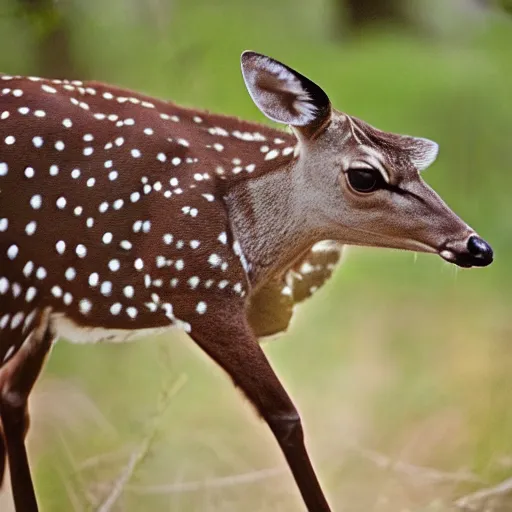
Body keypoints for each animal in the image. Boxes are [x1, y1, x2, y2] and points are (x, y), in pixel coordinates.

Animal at [0, 49, 492, 512]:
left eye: (419, 170)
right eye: (365, 175)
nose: (477, 246)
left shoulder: (55, 307)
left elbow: (14, 400)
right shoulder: (198, 292)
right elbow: (284, 414)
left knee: (13, 401)